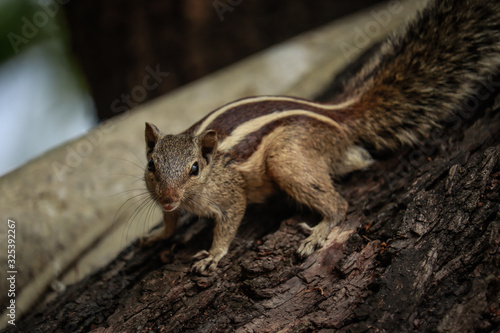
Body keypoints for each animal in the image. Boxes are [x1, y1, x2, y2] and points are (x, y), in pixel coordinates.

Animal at [142, 0, 500, 272]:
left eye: (194, 169)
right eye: (151, 165)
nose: (169, 197)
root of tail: (335, 116)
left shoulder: (230, 194)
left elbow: (229, 223)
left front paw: (213, 255)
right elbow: (169, 220)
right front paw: (159, 236)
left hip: (287, 158)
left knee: (339, 204)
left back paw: (318, 233)